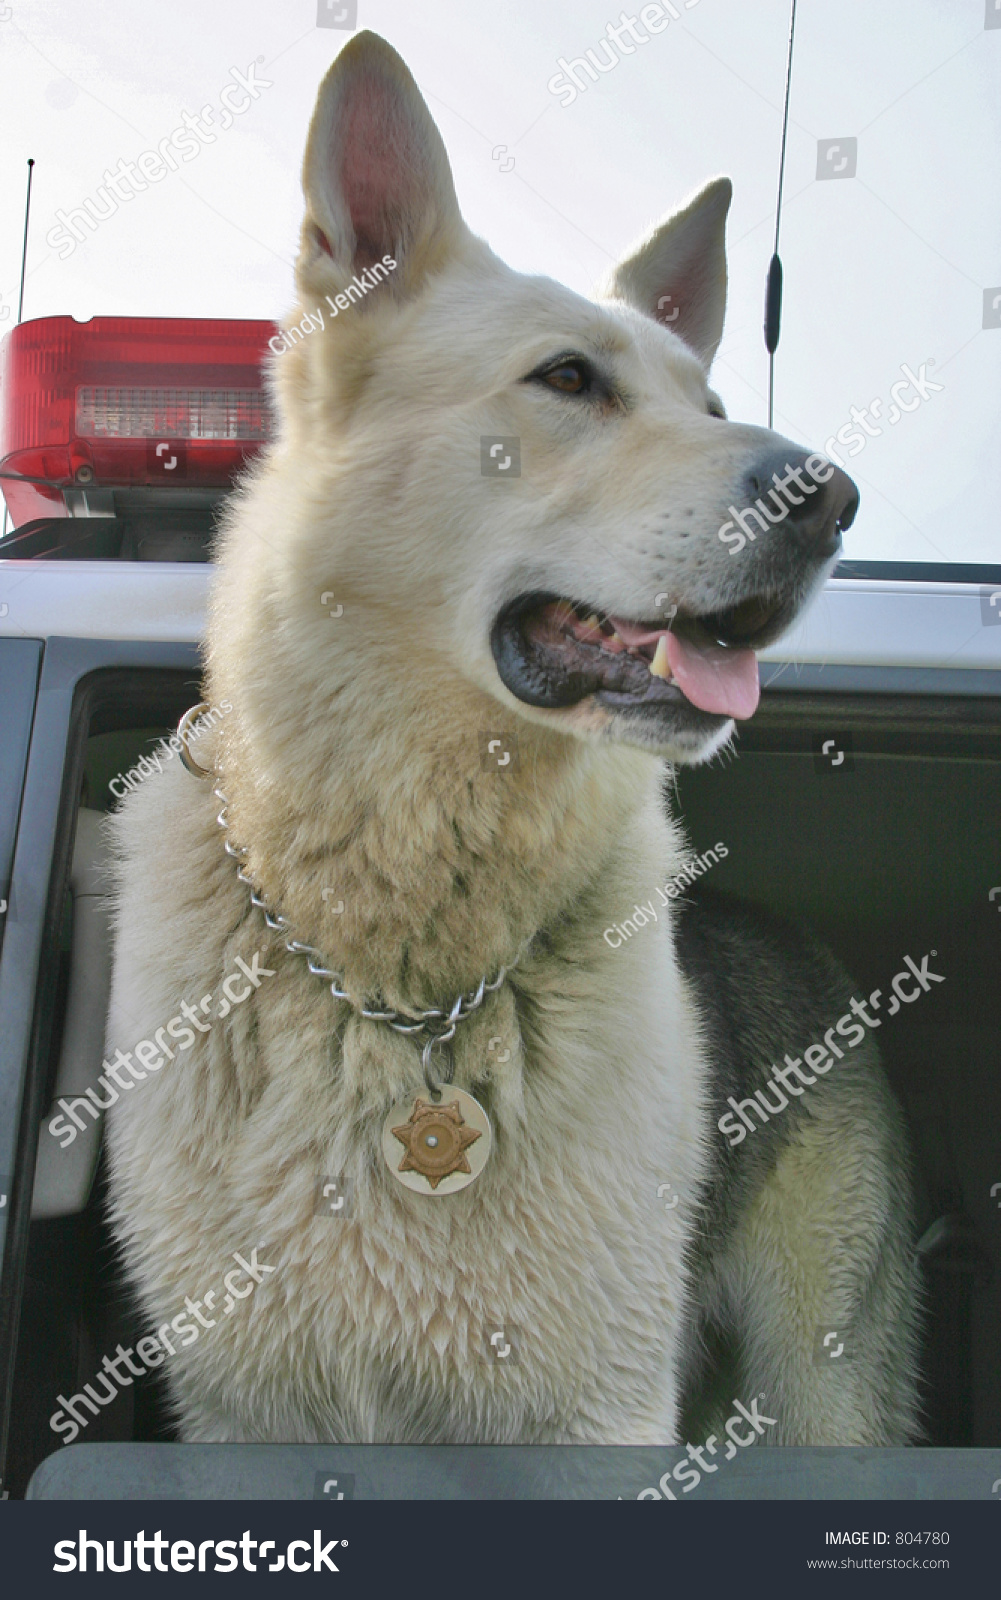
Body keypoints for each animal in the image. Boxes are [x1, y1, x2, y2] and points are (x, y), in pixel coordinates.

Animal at [103, 28, 921, 1452]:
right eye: (568, 379)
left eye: (708, 399)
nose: (829, 498)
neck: (394, 972)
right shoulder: (245, 1413)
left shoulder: (595, 1415)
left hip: (814, 1392)